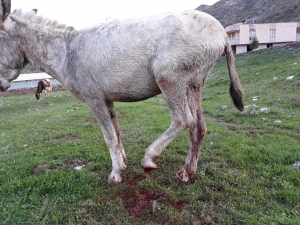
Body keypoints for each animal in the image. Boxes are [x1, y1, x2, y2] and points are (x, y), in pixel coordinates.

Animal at [0, 0, 244, 183]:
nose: (1, 86)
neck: (67, 52)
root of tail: (222, 33)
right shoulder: (107, 99)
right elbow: (116, 132)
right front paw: (122, 161)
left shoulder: (94, 100)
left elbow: (108, 137)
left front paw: (115, 173)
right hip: (193, 85)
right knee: (198, 128)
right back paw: (186, 172)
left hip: (169, 79)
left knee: (183, 120)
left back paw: (148, 159)